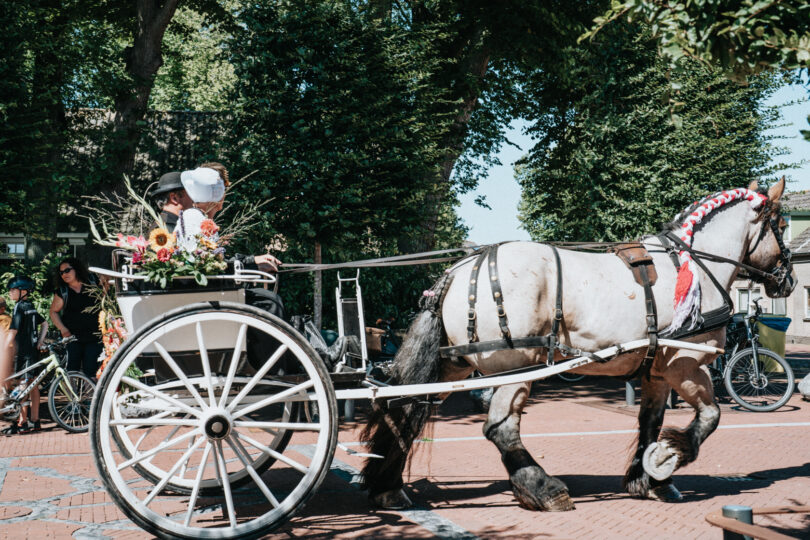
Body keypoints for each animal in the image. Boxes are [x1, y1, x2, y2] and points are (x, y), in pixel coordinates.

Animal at [362, 180, 792, 510]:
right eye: (783, 224)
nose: (788, 280)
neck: (693, 264)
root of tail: (457, 272)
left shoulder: (655, 370)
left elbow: (650, 422)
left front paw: (648, 479)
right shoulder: (685, 362)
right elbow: (710, 416)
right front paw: (670, 457)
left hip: (455, 365)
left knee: (406, 411)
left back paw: (388, 488)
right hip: (516, 367)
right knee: (500, 427)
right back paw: (543, 489)